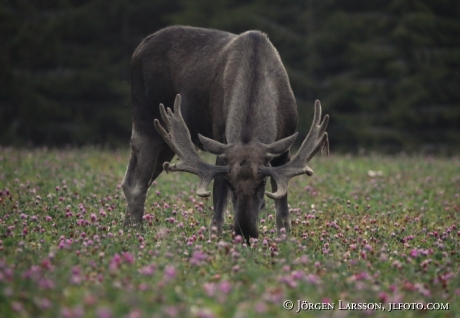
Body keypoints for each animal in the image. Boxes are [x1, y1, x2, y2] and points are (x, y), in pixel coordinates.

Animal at [122, 26, 328, 242]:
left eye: (261, 183)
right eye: (231, 184)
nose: (245, 232)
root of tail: (140, 47)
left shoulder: (283, 149)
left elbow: (282, 210)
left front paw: (285, 240)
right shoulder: (221, 146)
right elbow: (218, 211)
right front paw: (215, 241)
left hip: (166, 140)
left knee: (134, 180)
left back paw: (127, 230)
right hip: (144, 118)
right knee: (136, 184)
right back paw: (136, 232)